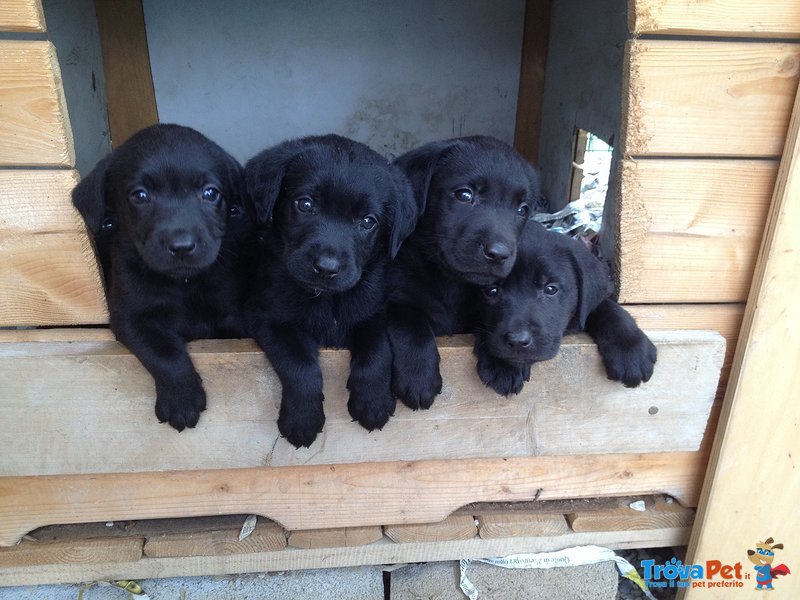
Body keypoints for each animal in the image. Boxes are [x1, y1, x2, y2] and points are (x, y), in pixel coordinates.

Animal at [72, 123, 255, 432]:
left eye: (210, 193)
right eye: (140, 196)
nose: (181, 246)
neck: (184, 285)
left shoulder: (232, 312)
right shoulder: (130, 317)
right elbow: (164, 352)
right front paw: (182, 398)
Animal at [244, 134, 418, 448]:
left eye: (368, 221)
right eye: (305, 204)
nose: (326, 267)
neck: (328, 300)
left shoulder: (374, 310)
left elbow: (376, 352)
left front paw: (373, 403)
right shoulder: (266, 316)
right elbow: (300, 365)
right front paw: (302, 421)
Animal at [386, 135, 540, 408]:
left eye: (522, 209)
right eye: (464, 195)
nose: (499, 253)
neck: (449, 282)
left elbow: (491, 319)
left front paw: (506, 363)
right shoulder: (393, 296)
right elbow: (409, 320)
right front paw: (418, 375)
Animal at [476, 223, 656, 396]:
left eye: (550, 289)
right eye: (491, 290)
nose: (517, 341)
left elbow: (608, 309)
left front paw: (630, 348)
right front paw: (503, 366)